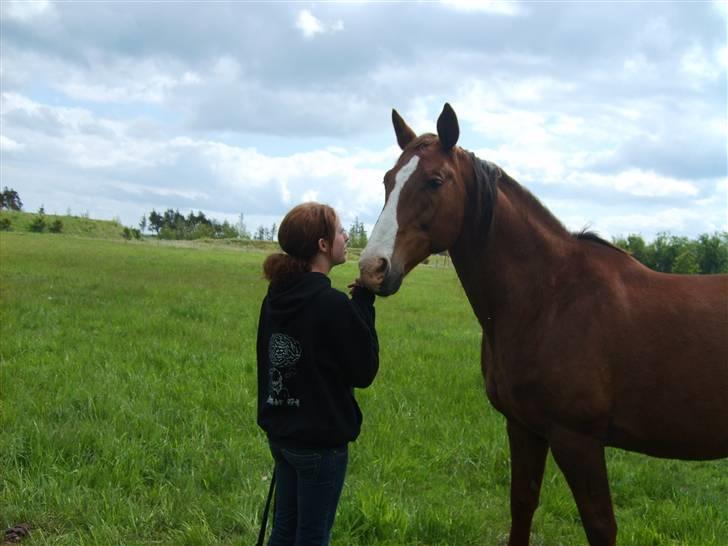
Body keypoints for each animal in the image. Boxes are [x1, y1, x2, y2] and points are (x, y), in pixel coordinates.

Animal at [358, 103, 728, 544]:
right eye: (387, 180)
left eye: (435, 181)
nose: (372, 268)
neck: (551, 300)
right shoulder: (524, 428)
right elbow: (522, 506)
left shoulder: (577, 440)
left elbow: (600, 525)